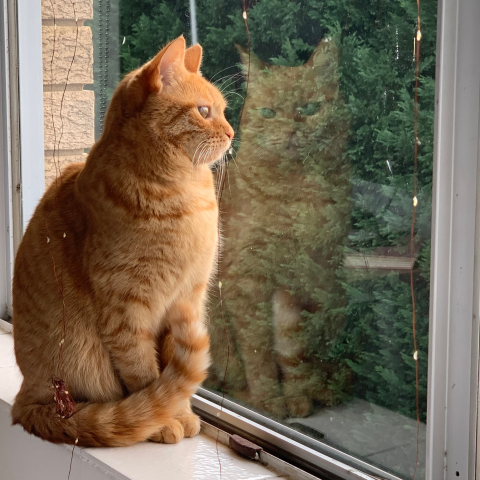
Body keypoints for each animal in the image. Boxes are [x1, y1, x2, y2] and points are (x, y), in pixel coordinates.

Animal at [12, 35, 233, 448]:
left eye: (225, 111)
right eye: (204, 111)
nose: (231, 133)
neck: (182, 196)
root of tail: (23, 400)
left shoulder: (186, 301)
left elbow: (170, 367)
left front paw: (181, 413)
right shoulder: (127, 311)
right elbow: (145, 374)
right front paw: (163, 420)